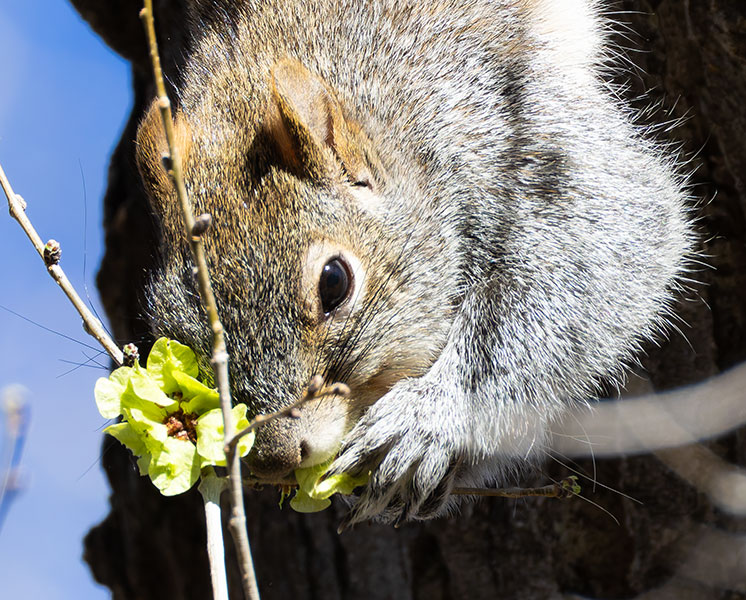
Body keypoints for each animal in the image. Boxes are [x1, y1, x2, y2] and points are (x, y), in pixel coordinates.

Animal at [135, 0, 694, 527]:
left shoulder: (510, 122)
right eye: (173, 330)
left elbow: (601, 244)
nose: (276, 459)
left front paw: (426, 418)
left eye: (334, 282)